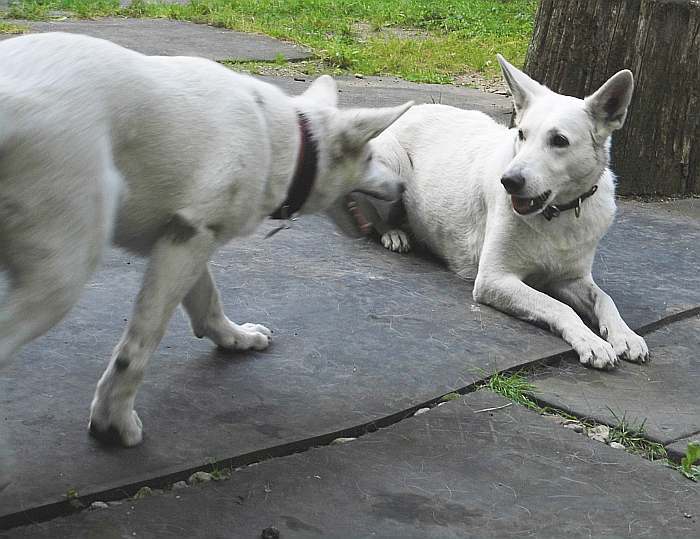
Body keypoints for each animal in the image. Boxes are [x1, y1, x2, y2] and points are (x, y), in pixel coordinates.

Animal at [0, 32, 412, 448]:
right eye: (370, 157)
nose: (403, 187)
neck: (292, 143)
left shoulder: (186, 239)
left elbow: (208, 302)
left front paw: (236, 339)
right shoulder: (187, 241)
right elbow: (140, 342)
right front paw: (112, 420)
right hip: (60, 280)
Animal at [356, 54, 652, 372]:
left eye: (559, 140)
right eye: (521, 134)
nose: (509, 181)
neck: (556, 213)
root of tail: (405, 112)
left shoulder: (570, 279)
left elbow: (604, 299)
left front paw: (625, 335)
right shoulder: (493, 279)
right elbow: (558, 306)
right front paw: (591, 341)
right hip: (391, 167)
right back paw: (394, 233)